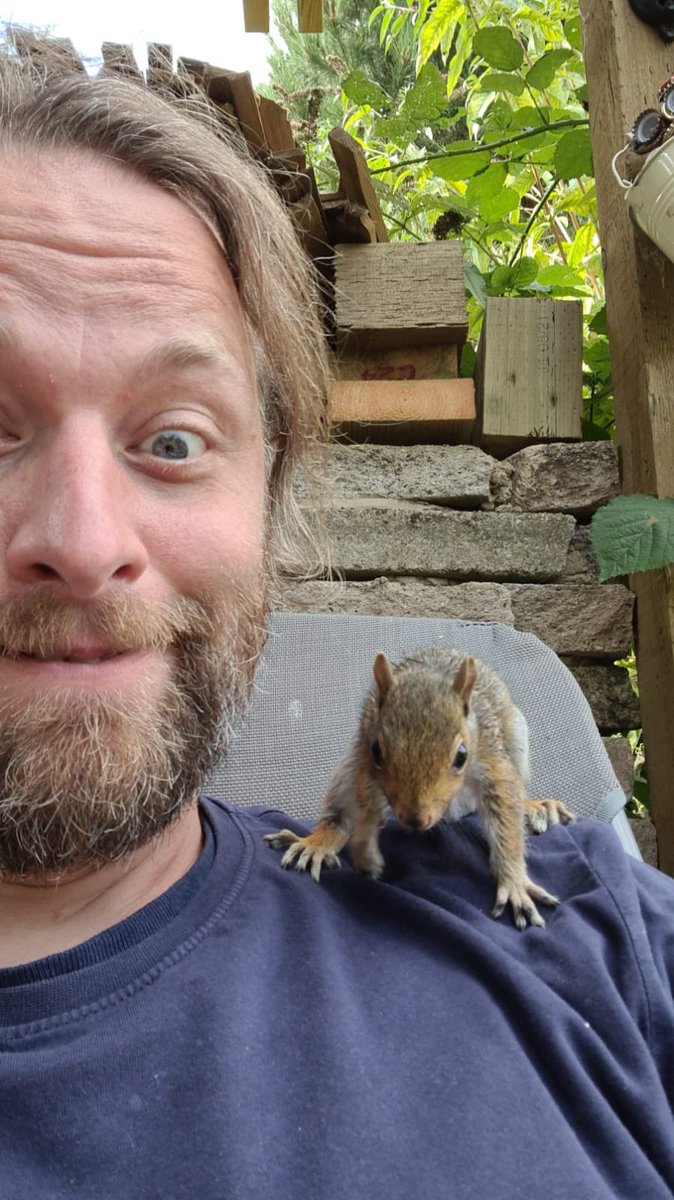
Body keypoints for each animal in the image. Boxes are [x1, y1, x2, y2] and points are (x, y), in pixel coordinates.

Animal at [265, 646, 575, 930]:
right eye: (377, 751)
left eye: (461, 755)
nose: (415, 819)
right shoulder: (364, 755)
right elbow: (365, 807)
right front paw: (366, 853)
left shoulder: (492, 762)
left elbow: (507, 819)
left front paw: (514, 884)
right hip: (349, 764)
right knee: (341, 812)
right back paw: (319, 842)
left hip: (516, 737)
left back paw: (534, 806)